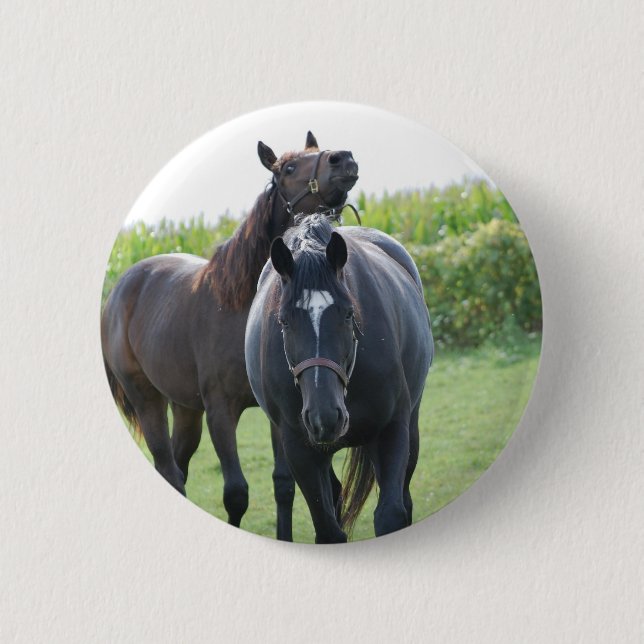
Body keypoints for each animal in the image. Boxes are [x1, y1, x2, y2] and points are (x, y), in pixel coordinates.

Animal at [101, 132, 359, 529]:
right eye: (288, 168)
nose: (343, 159)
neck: (242, 307)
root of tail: (120, 290)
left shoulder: (279, 414)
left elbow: (283, 485)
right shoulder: (221, 411)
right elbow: (236, 493)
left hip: (185, 410)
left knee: (178, 467)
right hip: (147, 400)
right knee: (169, 468)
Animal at [245, 214, 433, 543]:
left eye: (348, 314)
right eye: (283, 320)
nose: (325, 417)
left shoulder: (392, 429)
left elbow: (391, 515)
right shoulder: (300, 450)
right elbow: (328, 530)